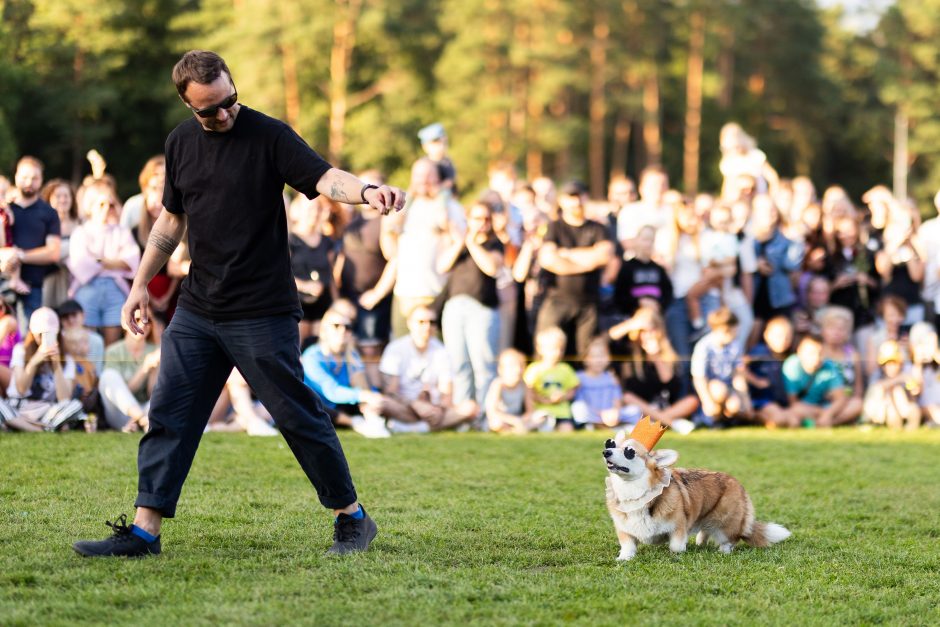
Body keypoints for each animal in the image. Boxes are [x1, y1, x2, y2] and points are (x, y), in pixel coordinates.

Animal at [604, 434, 784, 560]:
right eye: (610, 443)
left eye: (629, 452)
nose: (606, 451)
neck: (633, 491)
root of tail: (739, 485)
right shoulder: (624, 529)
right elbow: (628, 546)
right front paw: (624, 558)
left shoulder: (678, 527)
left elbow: (676, 546)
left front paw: (677, 554)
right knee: (705, 531)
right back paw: (699, 543)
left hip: (725, 522)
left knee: (730, 539)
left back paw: (722, 550)